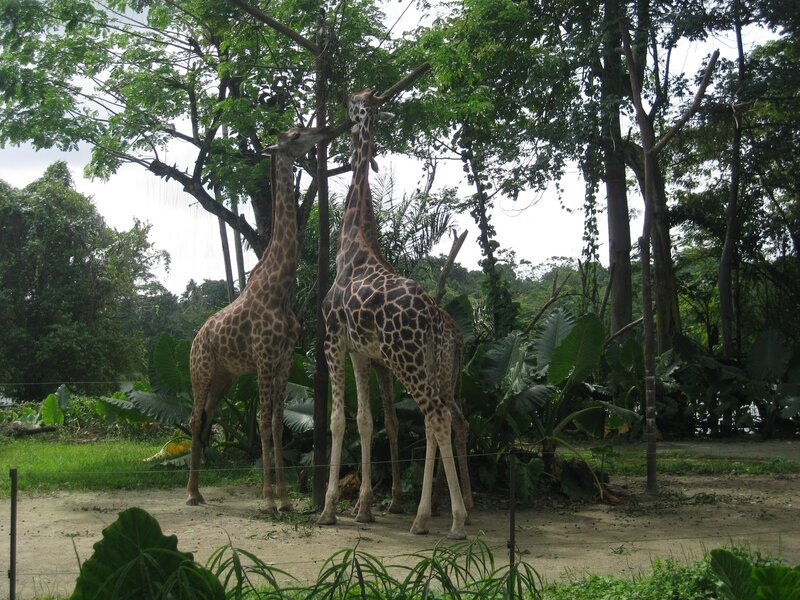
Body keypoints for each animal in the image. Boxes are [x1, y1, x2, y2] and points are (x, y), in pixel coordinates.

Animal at [186, 125, 331, 513]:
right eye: (296, 135)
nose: (323, 132)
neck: (280, 288)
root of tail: (196, 338)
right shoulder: (265, 359)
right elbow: (264, 423)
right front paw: (267, 498)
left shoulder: (284, 361)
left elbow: (279, 424)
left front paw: (285, 499)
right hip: (201, 372)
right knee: (193, 418)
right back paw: (189, 493)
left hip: (224, 378)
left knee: (205, 420)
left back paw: (199, 491)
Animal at [318, 89, 468, 539]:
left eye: (354, 104)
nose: (344, 106)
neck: (351, 247)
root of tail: (435, 318)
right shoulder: (359, 351)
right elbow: (366, 421)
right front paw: (364, 508)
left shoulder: (331, 339)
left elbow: (337, 420)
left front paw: (329, 508)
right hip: (426, 363)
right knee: (439, 419)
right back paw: (430, 515)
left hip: (408, 360)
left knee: (437, 416)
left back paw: (449, 519)